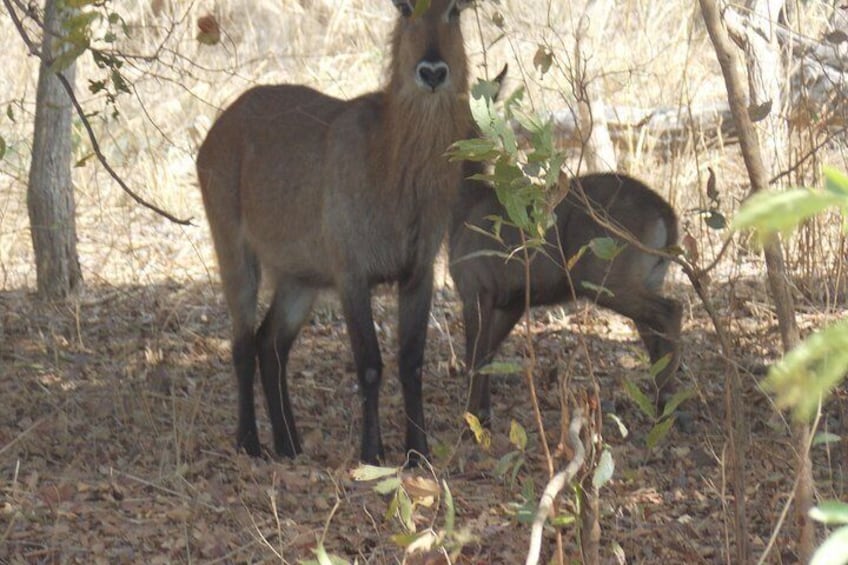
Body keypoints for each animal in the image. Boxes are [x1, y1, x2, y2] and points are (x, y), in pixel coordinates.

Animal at [199, 0, 474, 462]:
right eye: (404, 8)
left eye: (454, 9)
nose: (433, 71)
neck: (393, 168)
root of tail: (217, 128)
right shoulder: (352, 274)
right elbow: (370, 364)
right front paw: (372, 453)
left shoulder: (419, 273)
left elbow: (412, 361)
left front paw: (418, 451)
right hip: (233, 249)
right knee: (241, 343)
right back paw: (250, 442)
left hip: (300, 277)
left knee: (270, 343)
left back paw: (289, 443)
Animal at [450, 172, 684, 424]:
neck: (465, 208)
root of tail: (668, 217)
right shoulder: (512, 301)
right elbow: (488, 354)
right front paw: (484, 413)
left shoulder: (476, 288)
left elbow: (475, 359)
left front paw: (471, 419)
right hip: (649, 277)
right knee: (656, 330)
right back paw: (664, 401)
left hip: (605, 277)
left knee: (672, 309)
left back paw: (668, 402)